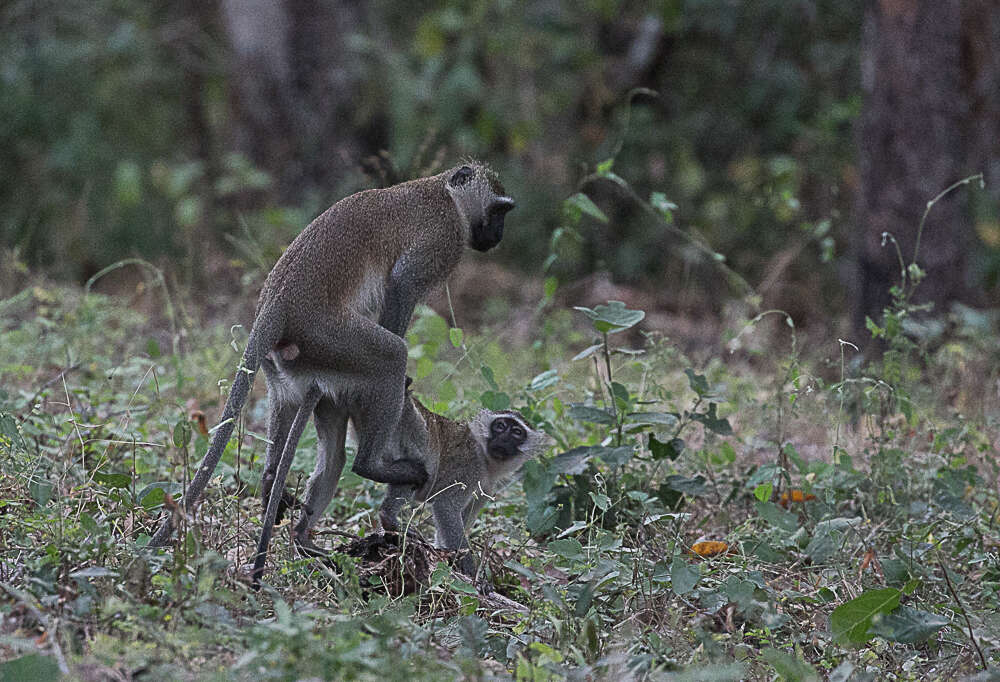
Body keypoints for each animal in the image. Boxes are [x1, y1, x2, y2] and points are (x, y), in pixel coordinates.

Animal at [147, 161, 516, 548]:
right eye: (498, 211)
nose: (499, 234)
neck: (447, 194)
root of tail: (275, 303)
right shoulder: (444, 238)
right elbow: (401, 284)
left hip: (289, 358)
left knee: (285, 399)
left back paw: (270, 478)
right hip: (328, 334)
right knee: (391, 355)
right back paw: (371, 464)